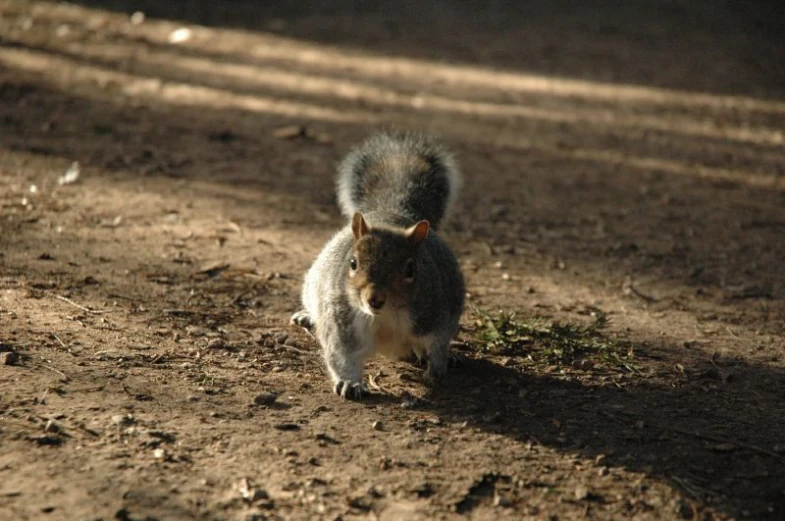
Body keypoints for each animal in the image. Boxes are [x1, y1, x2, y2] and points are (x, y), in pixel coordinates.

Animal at [292, 131, 466, 398]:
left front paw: (436, 370)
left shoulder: (436, 313)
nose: (375, 299)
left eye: (410, 269)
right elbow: (342, 355)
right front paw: (349, 383)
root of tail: (391, 211)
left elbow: (437, 343)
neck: (386, 315)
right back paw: (306, 316)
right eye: (353, 263)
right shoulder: (343, 323)